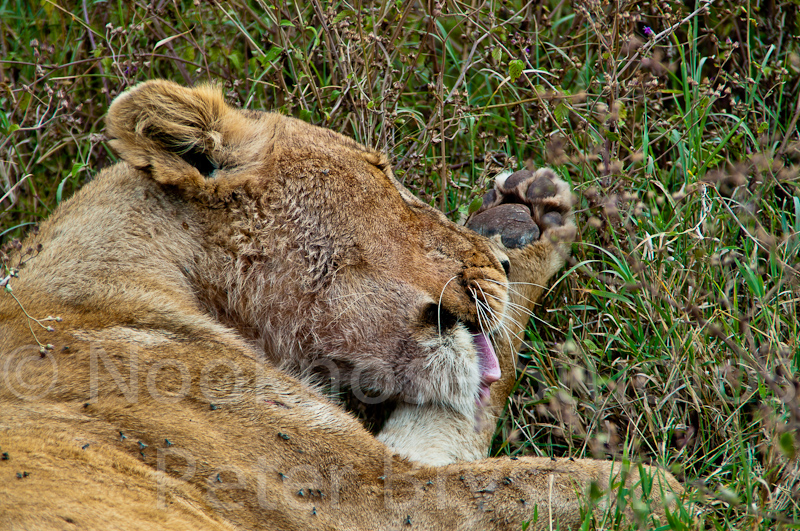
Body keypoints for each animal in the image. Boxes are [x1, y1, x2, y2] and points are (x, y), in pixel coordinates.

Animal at [0, 80, 682, 530]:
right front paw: (664, 495)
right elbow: (533, 482)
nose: (504, 264)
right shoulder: (356, 496)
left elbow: (466, 410)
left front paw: (529, 218)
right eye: (384, 174)